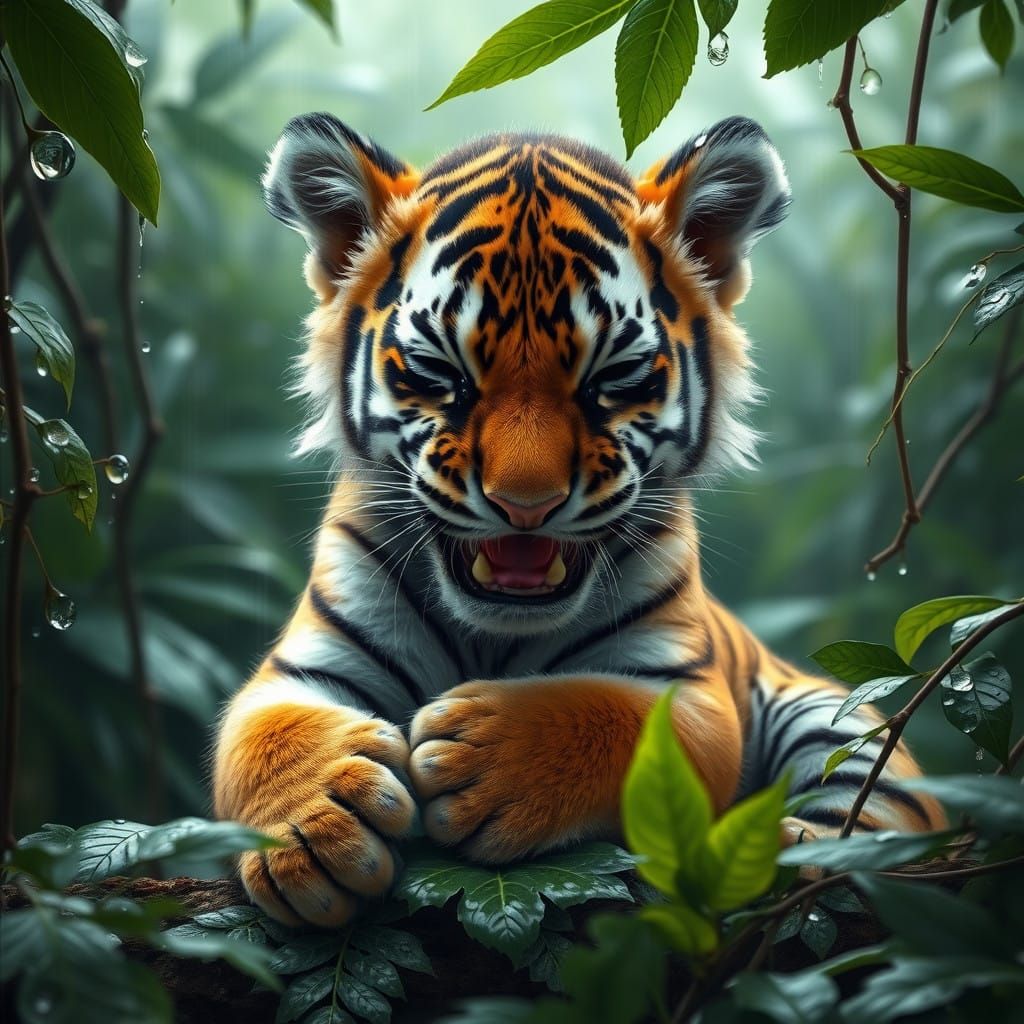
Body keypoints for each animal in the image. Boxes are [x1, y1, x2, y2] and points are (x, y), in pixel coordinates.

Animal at [212, 112, 944, 927]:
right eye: (440, 374)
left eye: (613, 378)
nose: (524, 503)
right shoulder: (300, 669)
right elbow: (266, 734)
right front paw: (315, 828)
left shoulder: (690, 689)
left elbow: (615, 720)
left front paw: (481, 759)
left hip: (835, 716)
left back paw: (792, 854)